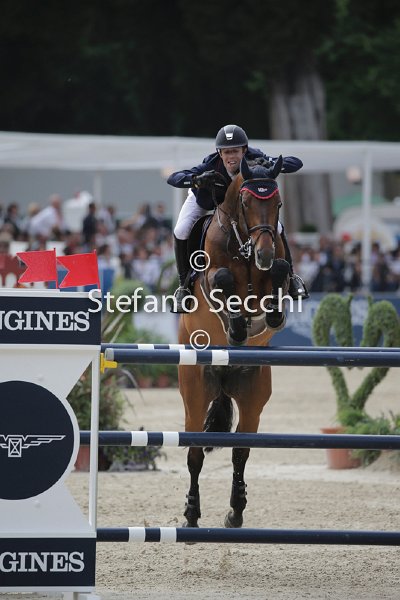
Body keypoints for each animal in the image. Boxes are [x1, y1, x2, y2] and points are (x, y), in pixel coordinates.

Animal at [177, 156, 291, 528]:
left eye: (277, 204)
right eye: (245, 203)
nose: (264, 254)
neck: (243, 246)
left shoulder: (276, 273)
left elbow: (280, 273)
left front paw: (270, 317)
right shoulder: (211, 279)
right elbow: (224, 280)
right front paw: (238, 327)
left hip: (253, 395)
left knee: (241, 452)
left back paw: (236, 511)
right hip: (195, 393)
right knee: (194, 454)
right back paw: (191, 514)